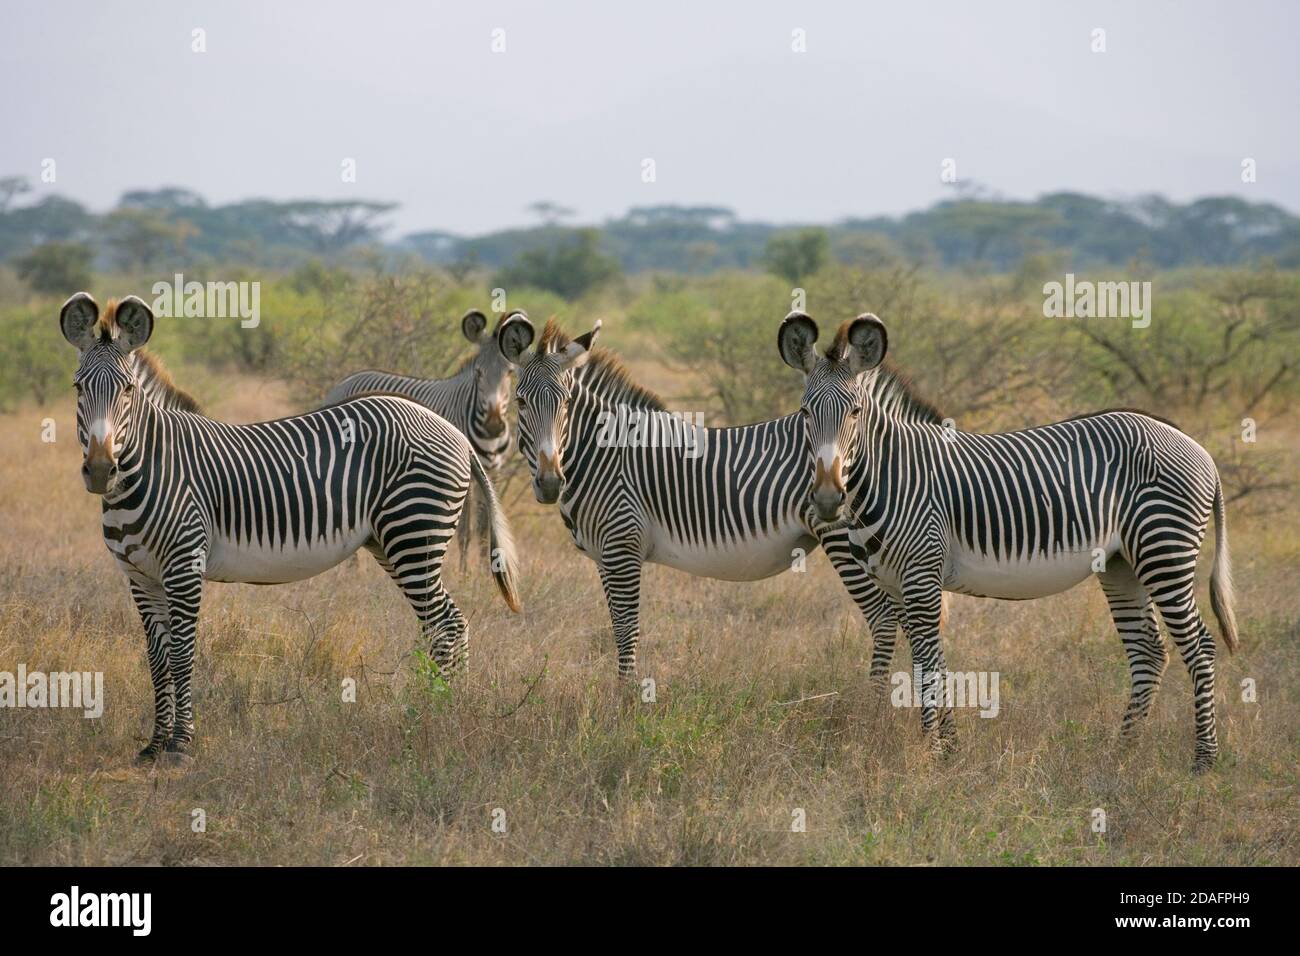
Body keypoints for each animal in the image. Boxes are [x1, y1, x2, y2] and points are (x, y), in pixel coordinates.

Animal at [59, 291, 517, 764]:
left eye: (127, 390)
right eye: (78, 387)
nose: (100, 471)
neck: (152, 466)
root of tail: (452, 431)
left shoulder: (184, 566)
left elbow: (183, 653)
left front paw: (181, 744)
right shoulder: (140, 576)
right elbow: (157, 658)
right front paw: (154, 744)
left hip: (414, 535)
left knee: (448, 623)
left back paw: (439, 711)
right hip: (390, 543)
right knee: (443, 623)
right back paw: (440, 707)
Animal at [491, 314, 899, 681]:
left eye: (565, 403)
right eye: (520, 402)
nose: (549, 483)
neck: (601, 455)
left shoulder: (623, 546)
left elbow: (625, 630)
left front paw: (624, 703)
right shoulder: (604, 557)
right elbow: (617, 626)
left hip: (846, 539)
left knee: (884, 616)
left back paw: (873, 701)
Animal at [780, 310, 1237, 775]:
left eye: (855, 412)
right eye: (804, 412)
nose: (827, 499)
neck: (892, 473)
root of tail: (1193, 444)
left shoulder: (921, 574)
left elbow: (926, 661)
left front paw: (930, 751)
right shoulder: (897, 582)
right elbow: (930, 660)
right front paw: (947, 745)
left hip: (1165, 551)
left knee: (1199, 645)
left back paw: (1204, 759)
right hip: (1122, 565)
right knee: (1149, 650)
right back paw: (1121, 751)